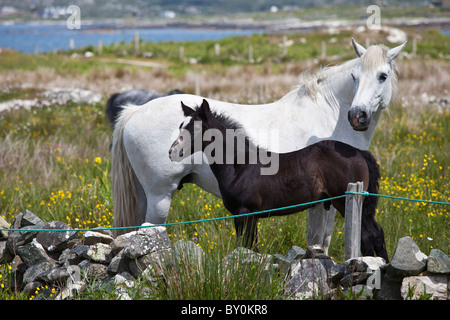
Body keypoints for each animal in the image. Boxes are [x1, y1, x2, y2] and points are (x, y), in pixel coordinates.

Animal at [170, 99, 390, 262]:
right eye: (180, 125)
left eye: (195, 128)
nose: (172, 152)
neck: (240, 164)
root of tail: (359, 153)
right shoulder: (251, 217)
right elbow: (251, 247)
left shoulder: (244, 214)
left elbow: (245, 247)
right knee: (375, 234)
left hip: (346, 201)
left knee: (368, 236)